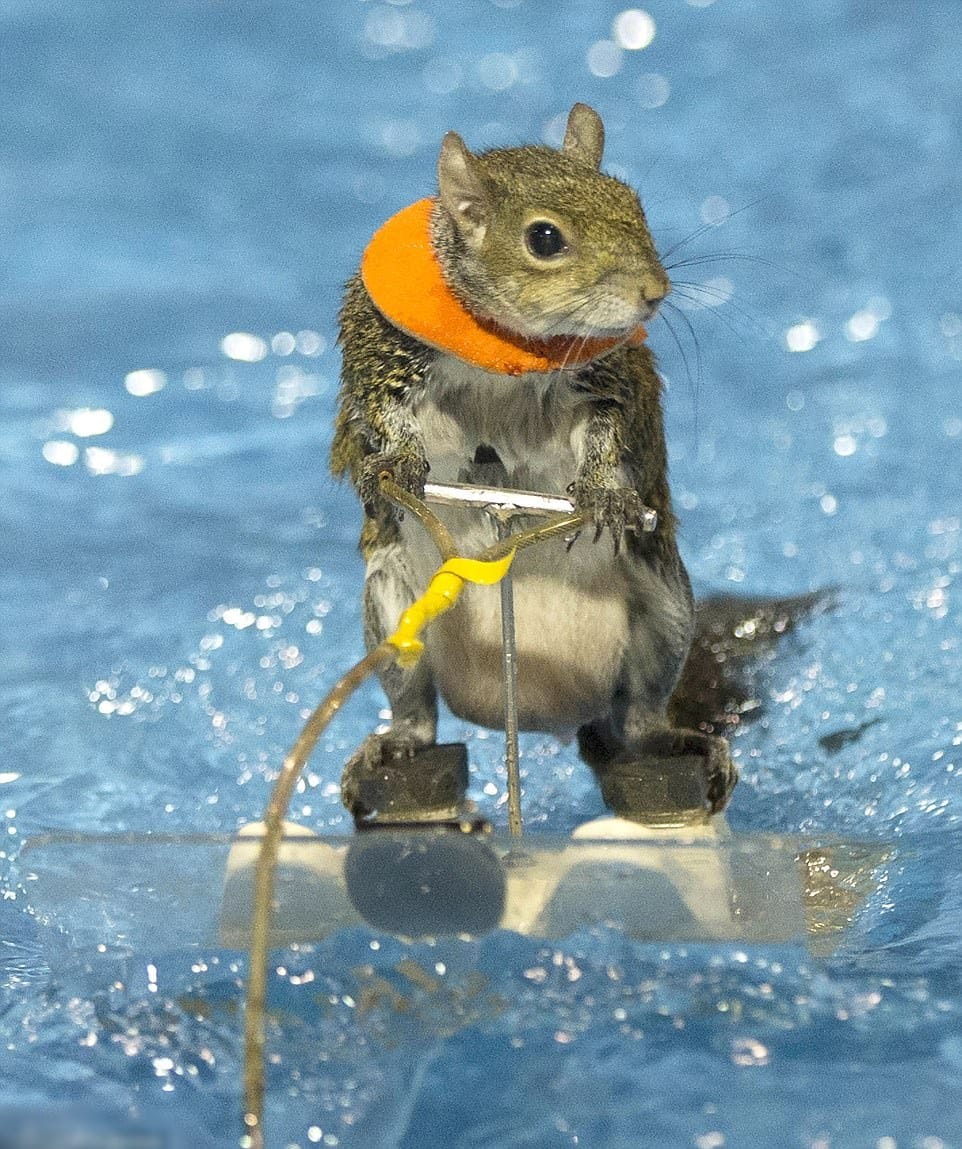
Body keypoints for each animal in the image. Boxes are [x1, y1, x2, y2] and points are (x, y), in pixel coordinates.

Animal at [331, 103, 737, 815]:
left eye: (634, 204)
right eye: (544, 239)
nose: (654, 291)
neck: (509, 349)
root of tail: (549, 712)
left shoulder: (606, 379)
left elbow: (606, 432)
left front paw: (604, 490)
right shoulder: (382, 351)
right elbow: (382, 411)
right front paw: (400, 461)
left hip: (663, 611)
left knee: (639, 717)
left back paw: (677, 742)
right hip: (394, 616)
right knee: (416, 710)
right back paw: (393, 744)